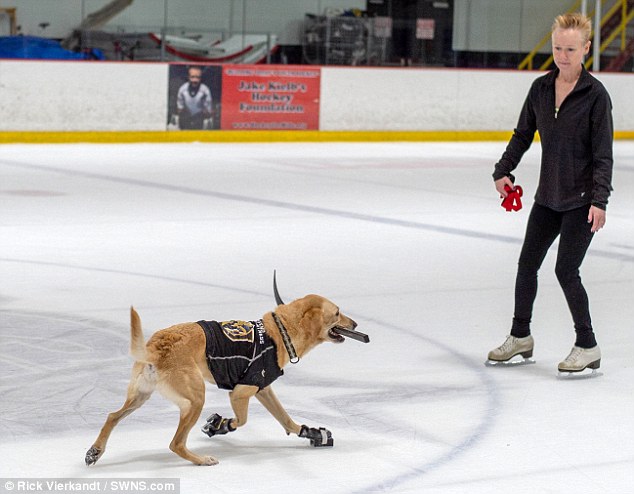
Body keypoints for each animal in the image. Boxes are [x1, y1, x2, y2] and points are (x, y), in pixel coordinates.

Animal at [84, 294, 362, 466]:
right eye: (337, 313)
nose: (356, 323)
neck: (279, 331)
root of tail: (155, 348)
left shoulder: (263, 390)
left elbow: (287, 420)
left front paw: (313, 434)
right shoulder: (240, 392)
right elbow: (242, 420)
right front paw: (220, 425)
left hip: (140, 396)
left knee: (112, 416)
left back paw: (95, 451)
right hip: (195, 400)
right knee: (176, 444)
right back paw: (201, 460)